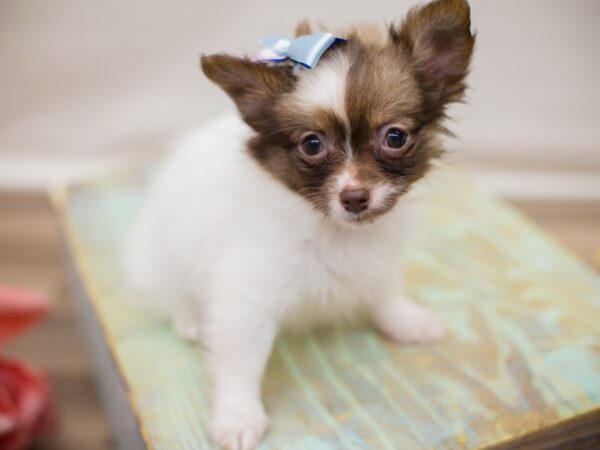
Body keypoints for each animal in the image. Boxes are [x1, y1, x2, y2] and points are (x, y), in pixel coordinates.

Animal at [124, 1, 476, 448]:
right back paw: (190, 320)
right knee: (169, 295)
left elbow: (383, 290)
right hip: (156, 262)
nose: (354, 197)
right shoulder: (245, 295)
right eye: (312, 144)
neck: (334, 230)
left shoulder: (377, 258)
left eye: (395, 137)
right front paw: (237, 415)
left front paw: (404, 319)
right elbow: (241, 360)